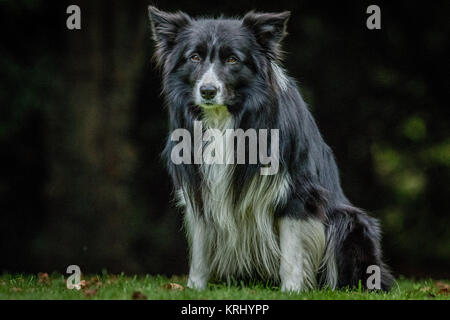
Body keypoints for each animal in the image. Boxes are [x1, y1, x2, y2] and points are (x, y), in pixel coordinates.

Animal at [149, 6, 394, 292]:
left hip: (349, 221)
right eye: (194, 57)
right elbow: (200, 246)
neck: (224, 119)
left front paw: (292, 291)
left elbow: (292, 249)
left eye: (232, 59)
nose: (207, 91)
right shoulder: (199, 187)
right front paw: (194, 288)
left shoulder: (297, 190)